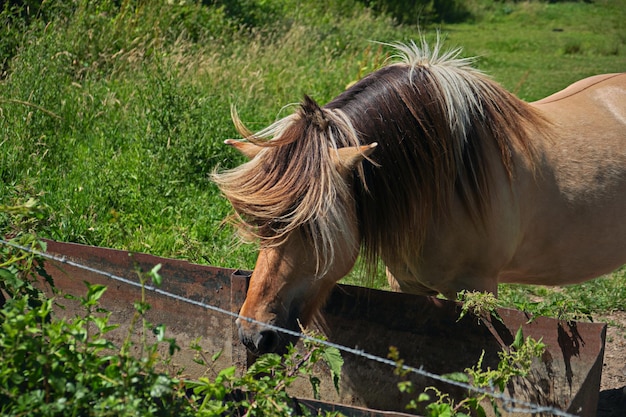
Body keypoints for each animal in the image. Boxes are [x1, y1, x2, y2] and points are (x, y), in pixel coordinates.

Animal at [212, 39, 624, 354]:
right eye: (260, 225)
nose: (253, 336)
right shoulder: (406, 285)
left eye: (312, 228)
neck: (444, 185)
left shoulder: (477, 289)